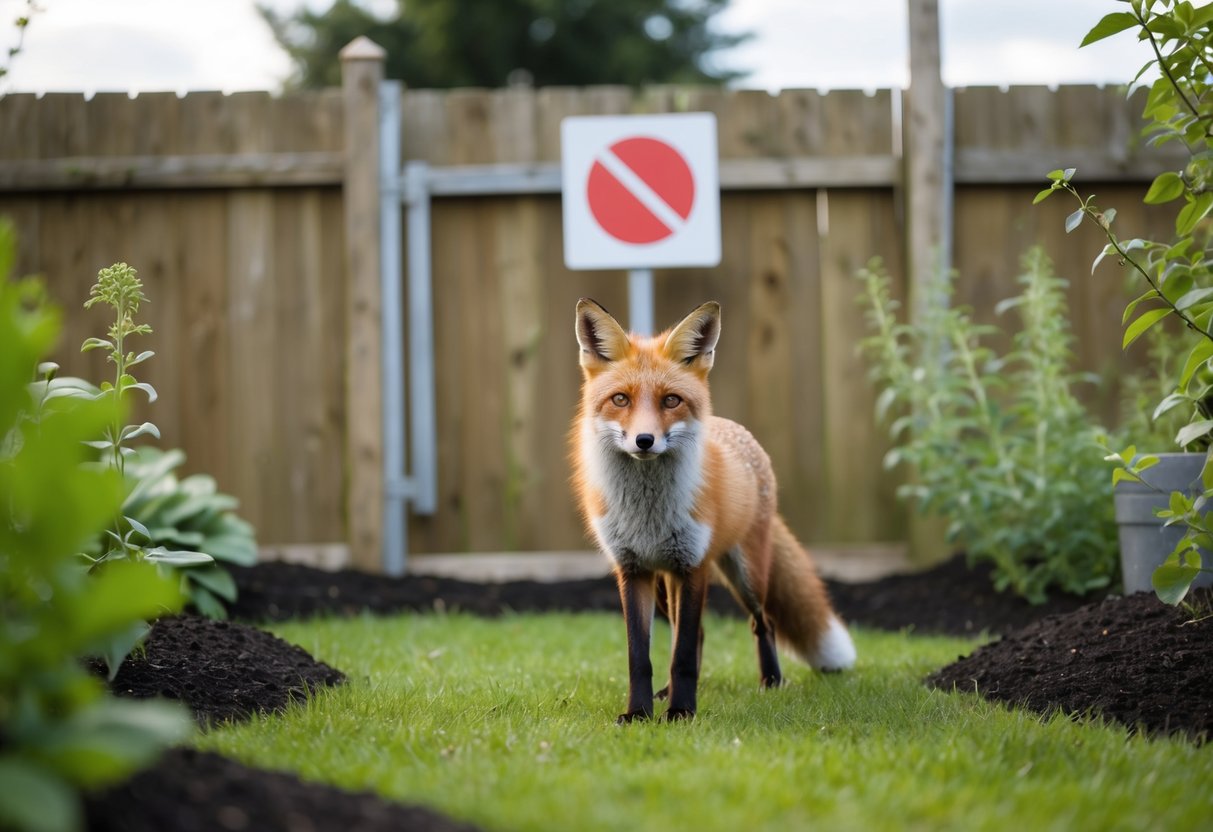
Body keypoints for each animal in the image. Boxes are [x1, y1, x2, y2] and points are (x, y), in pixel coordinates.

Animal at [571, 298, 856, 723]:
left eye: (671, 400)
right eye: (620, 399)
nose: (644, 440)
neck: (647, 514)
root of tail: (734, 428)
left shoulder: (694, 565)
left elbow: (684, 655)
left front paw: (682, 713)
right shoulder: (632, 570)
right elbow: (642, 657)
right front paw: (639, 713)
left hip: (746, 573)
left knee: (763, 621)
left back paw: (771, 681)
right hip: (664, 587)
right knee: (696, 634)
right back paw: (668, 692)